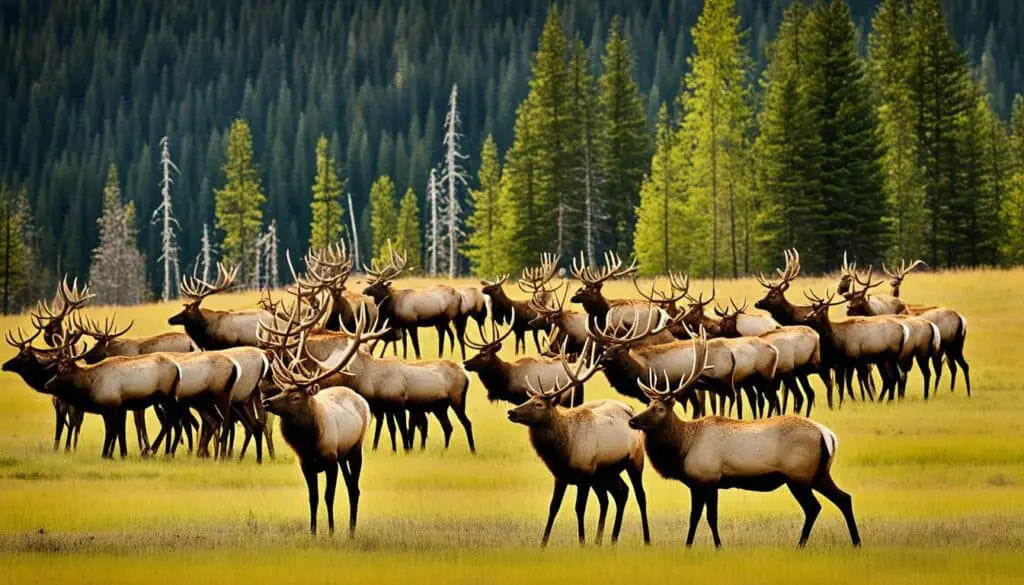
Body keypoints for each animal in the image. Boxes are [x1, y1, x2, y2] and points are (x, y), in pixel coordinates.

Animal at [262, 313, 374, 536]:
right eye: (282, 389)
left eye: (296, 396)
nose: (266, 402)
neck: (309, 442)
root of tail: (360, 399)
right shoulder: (306, 464)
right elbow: (312, 498)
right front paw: (313, 532)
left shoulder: (330, 460)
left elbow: (328, 496)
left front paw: (330, 531)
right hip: (343, 456)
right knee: (351, 486)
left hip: (355, 449)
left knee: (355, 488)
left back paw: (352, 531)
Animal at [506, 341, 651, 546]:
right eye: (528, 399)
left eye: (539, 404)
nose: (512, 412)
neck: (563, 450)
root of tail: (629, 408)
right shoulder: (561, 476)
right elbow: (553, 507)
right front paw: (543, 544)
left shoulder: (585, 473)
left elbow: (579, 508)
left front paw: (581, 542)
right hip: (605, 473)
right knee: (619, 493)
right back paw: (607, 539)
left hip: (634, 460)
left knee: (639, 495)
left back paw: (645, 539)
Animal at [627, 329, 861, 549]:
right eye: (648, 404)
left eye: (658, 409)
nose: (632, 421)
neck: (683, 449)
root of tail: (827, 434)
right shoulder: (699, 483)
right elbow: (698, 518)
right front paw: (691, 546)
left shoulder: (708, 478)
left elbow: (707, 518)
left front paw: (713, 546)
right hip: (819, 473)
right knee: (844, 498)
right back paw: (856, 541)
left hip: (799, 475)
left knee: (814, 507)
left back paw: (801, 544)